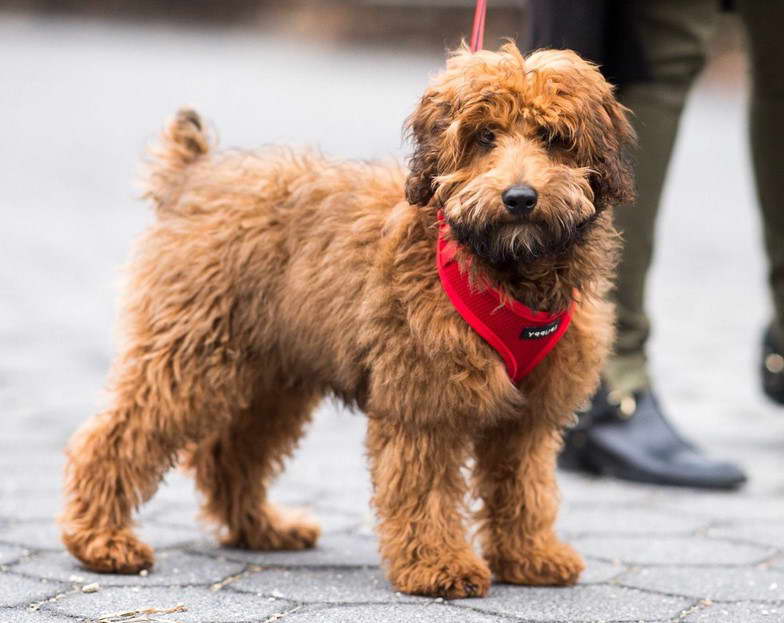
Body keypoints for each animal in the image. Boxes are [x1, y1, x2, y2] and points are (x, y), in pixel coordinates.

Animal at [62, 42, 636, 600]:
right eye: (484, 136)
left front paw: (529, 555)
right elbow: (424, 487)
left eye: (554, 138)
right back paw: (101, 540)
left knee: (230, 453)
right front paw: (438, 565)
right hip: (190, 354)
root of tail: (194, 176)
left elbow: (524, 485)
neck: (500, 270)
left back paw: (263, 529)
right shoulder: (424, 401)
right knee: (118, 436)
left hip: (273, 376)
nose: (519, 198)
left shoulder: (529, 415)